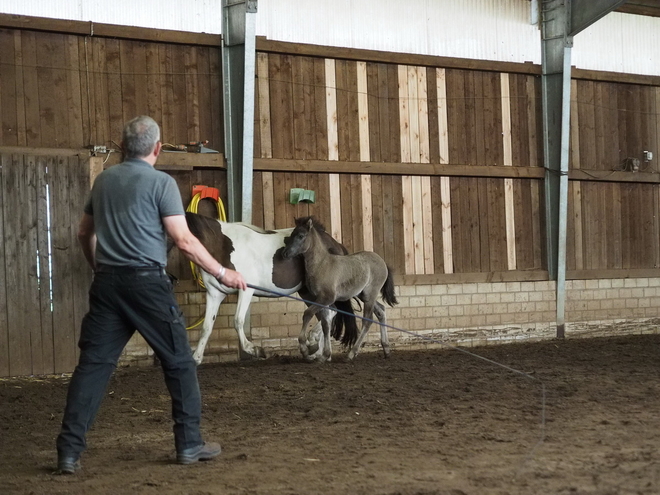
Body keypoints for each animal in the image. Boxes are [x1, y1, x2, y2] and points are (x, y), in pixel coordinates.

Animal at [183, 213, 356, 364]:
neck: (222, 246)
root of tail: (335, 244)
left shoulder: (245, 290)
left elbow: (238, 321)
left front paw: (255, 350)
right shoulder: (214, 294)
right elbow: (206, 327)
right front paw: (196, 358)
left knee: (330, 312)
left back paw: (313, 344)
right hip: (308, 293)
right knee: (325, 313)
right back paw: (318, 353)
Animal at [282, 215, 398, 362]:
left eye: (301, 235)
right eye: (291, 235)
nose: (285, 253)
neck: (321, 264)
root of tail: (382, 261)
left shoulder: (326, 298)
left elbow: (308, 314)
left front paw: (304, 348)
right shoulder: (322, 300)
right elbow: (326, 324)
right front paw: (325, 355)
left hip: (370, 294)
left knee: (367, 320)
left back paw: (351, 354)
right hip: (363, 295)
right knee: (381, 311)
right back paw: (386, 349)